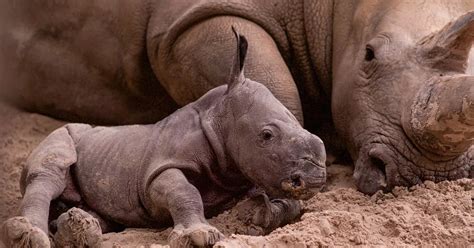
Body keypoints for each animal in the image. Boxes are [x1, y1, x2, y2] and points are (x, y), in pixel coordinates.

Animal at [0, 28, 326, 247]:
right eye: (266, 135)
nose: (315, 178)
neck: (219, 120)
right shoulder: (159, 170)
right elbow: (185, 192)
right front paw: (199, 235)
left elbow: (286, 203)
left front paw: (259, 217)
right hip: (58, 134)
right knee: (49, 172)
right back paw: (29, 235)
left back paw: (76, 227)